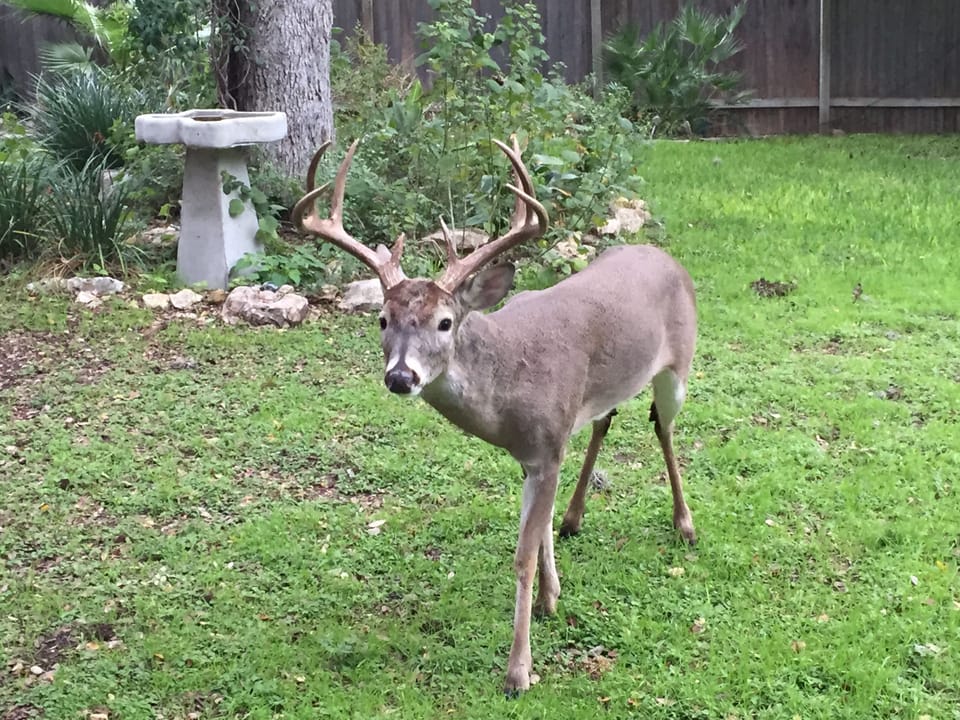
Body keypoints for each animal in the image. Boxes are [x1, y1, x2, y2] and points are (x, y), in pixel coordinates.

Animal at [292, 136, 698, 695]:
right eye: (382, 319)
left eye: (445, 322)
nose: (401, 377)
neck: (507, 390)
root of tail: (665, 256)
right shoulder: (536, 454)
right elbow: (539, 527)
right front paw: (552, 596)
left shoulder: (547, 444)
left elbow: (521, 555)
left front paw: (519, 670)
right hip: (611, 386)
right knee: (606, 418)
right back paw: (576, 517)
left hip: (681, 362)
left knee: (664, 424)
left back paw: (685, 524)